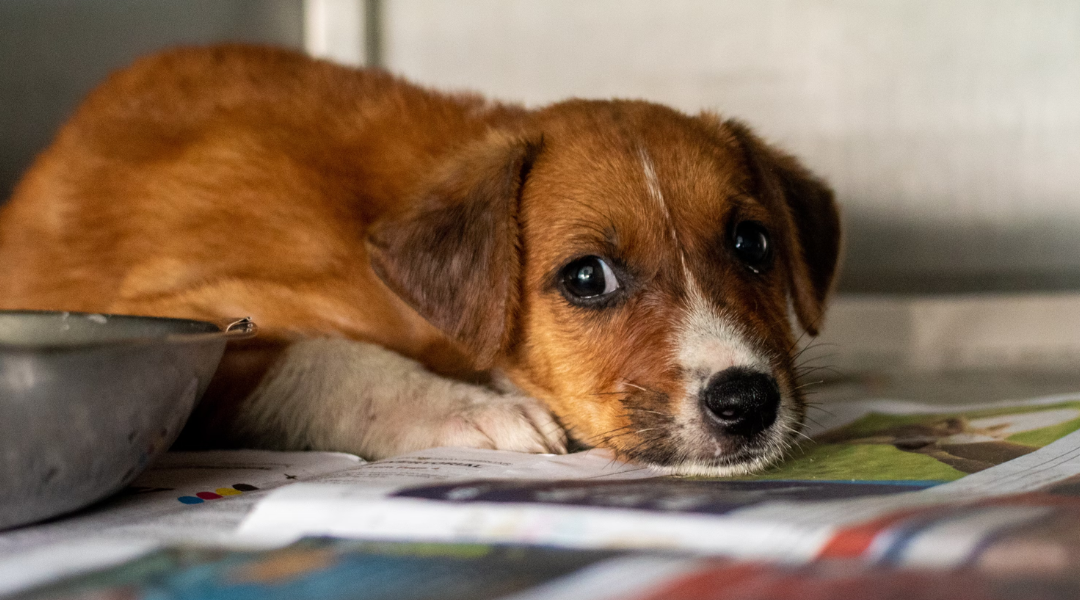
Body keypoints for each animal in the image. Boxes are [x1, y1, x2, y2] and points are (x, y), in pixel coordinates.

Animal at [0, 44, 842, 474]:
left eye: (753, 244)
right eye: (586, 277)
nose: (747, 402)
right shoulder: (196, 315)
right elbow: (331, 358)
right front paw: (471, 411)